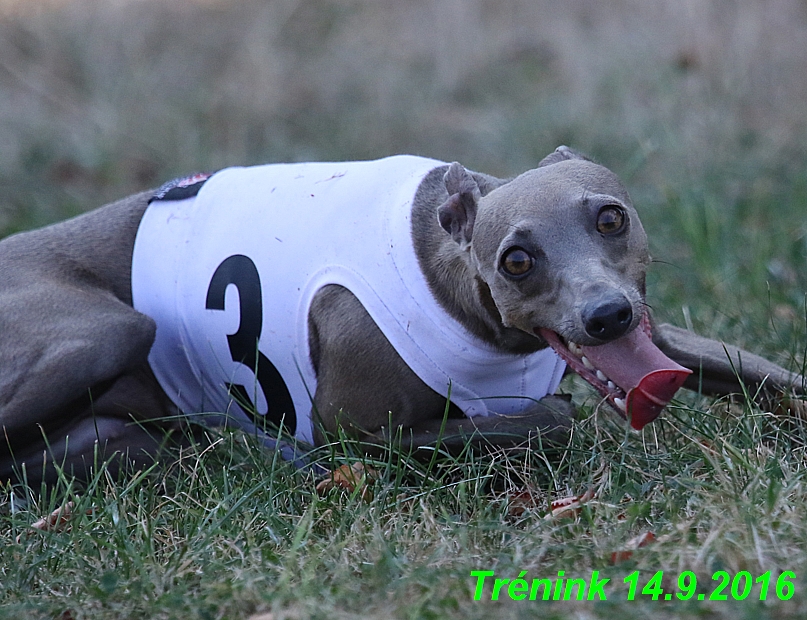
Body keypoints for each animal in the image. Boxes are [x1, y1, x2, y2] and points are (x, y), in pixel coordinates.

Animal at [0, 147, 800, 484]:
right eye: (516, 259)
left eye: (611, 217)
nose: (605, 317)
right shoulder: (342, 440)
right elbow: (549, 418)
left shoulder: (658, 333)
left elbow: (766, 374)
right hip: (109, 331)